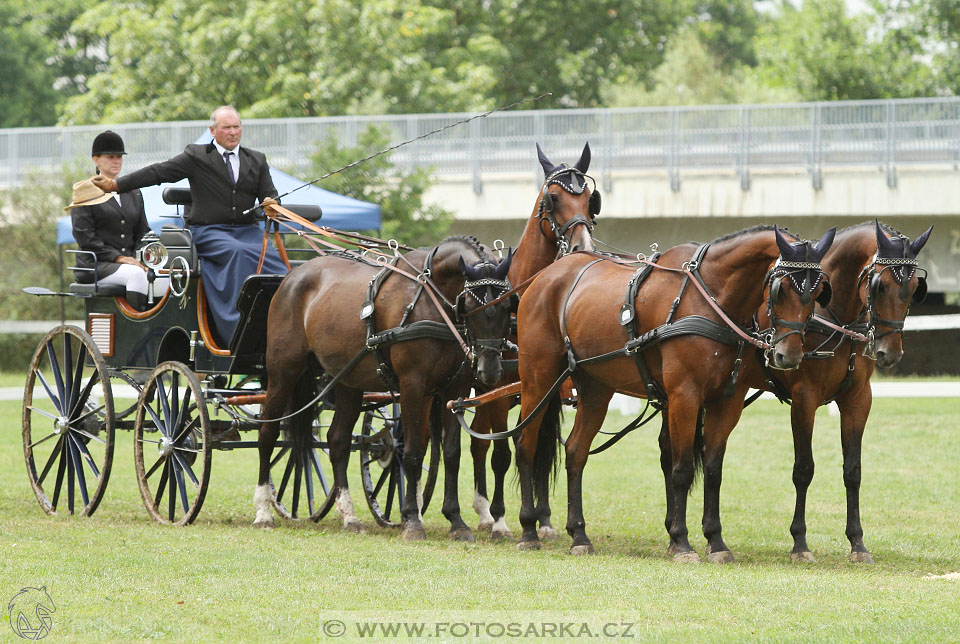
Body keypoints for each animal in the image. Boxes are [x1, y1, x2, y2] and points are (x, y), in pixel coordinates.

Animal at [251, 234, 512, 540]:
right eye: (470, 306)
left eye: (508, 306)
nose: (490, 371)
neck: (431, 299)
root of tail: (293, 275)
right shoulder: (413, 386)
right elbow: (412, 452)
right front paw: (412, 521)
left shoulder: (454, 390)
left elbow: (451, 454)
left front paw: (456, 521)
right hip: (283, 371)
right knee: (267, 433)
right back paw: (263, 510)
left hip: (348, 380)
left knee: (337, 440)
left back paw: (349, 515)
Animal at [466, 141, 596, 540]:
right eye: (553, 198)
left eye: (590, 199)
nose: (582, 246)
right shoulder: (498, 391)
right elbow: (503, 454)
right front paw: (503, 518)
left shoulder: (546, 391)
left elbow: (538, 450)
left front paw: (544, 519)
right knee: (478, 443)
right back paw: (485, 512)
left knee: (477, 439)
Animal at [512, 225, 836, 560]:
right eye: (779, 290)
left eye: (818, 293)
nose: (789, 356)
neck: (710, 299)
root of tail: (546, 276)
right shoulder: (684, 395)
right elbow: (681, 469)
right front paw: (681, 542)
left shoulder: (728, 401)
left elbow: (713, 470)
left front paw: (716, 541)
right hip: (538, 377)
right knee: (525, 444)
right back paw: (528, 529)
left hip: (595, 387)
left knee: (576, 451)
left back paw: (579, 535)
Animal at [728, 219, 928, 560]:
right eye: (879, 286)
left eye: (915, 288)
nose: (889, 353)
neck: (834, 320)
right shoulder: (804, 399)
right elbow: (803, 469)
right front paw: (799, 542)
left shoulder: (858, 399)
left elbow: (853, 470)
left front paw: (857, 542)